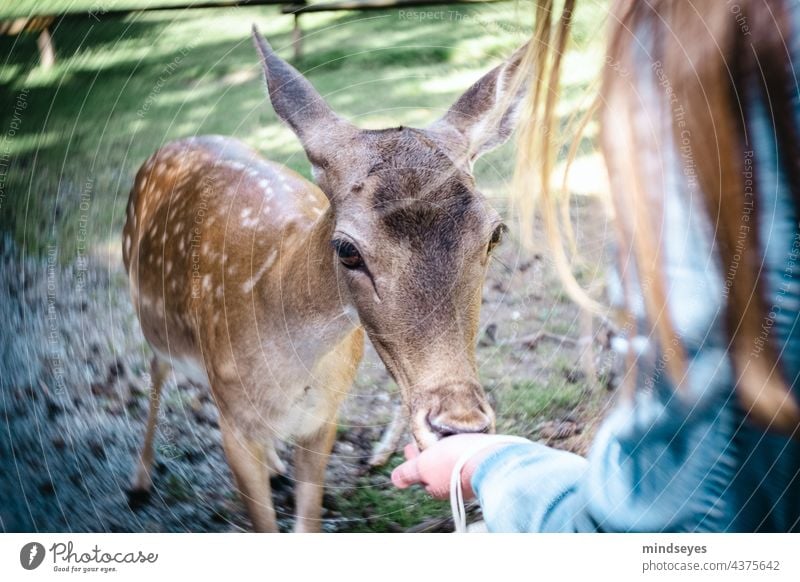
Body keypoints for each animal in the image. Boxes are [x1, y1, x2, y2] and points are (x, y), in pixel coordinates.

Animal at [120, 28, 532, 532]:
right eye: (347, 249)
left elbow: (308, 520)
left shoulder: (325, 418)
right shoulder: (233, 425)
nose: (460, 426)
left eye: (495, 233)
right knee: (156, 372)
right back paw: (139, 482)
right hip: (148, 314)